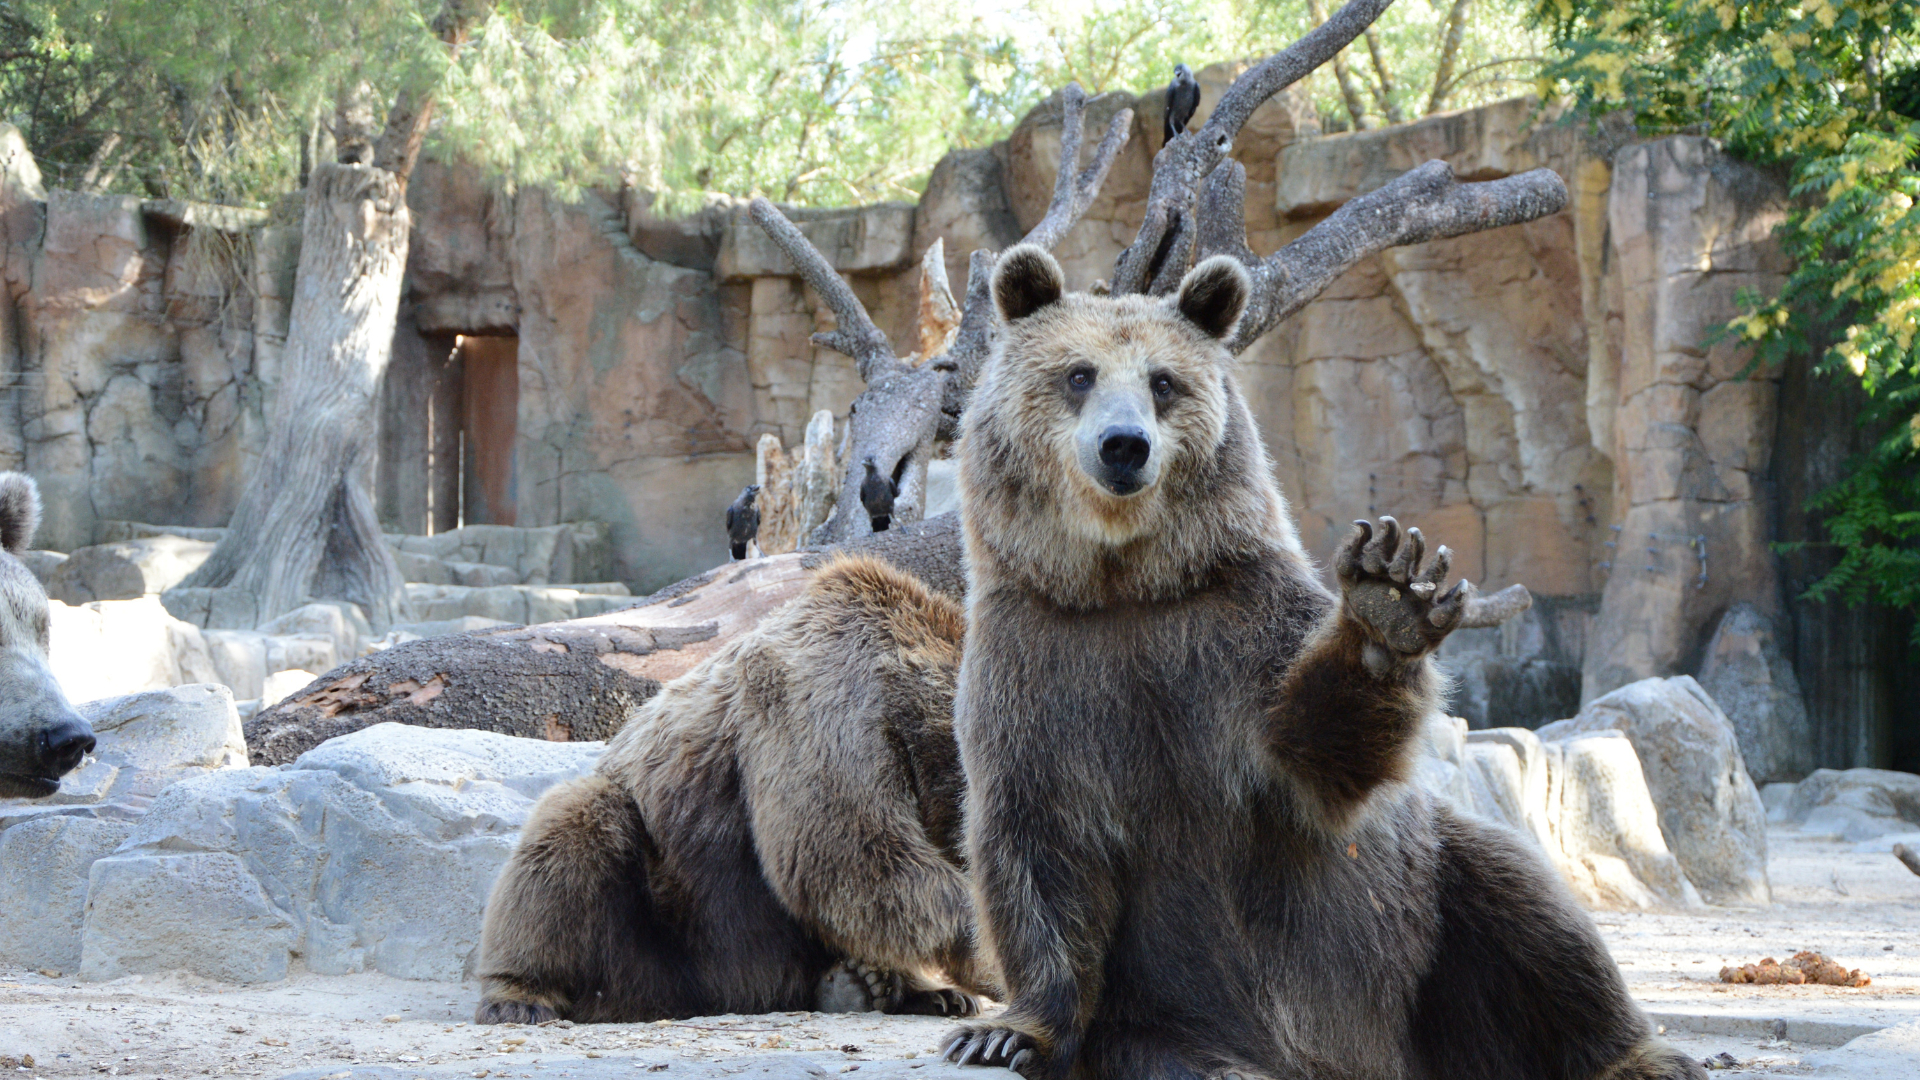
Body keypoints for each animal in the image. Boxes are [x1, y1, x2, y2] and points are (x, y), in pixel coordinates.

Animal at [472, 553, 998, 1014]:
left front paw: (949, 985)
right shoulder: (828, 703)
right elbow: (846, 852)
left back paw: (891, 988)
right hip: (667, 925)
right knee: (571, 832)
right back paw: (521, 996)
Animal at [936, 245, 1704, 1076]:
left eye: (1163, 381)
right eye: (1078, 374)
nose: (1123, 445)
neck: (1125, 584)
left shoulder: (1235, 634)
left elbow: (1317, 753)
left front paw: (1388, 598)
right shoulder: (1042, 663)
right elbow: (1037, 842)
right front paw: (1004, 1030)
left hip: (1426, 925)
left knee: (1527, 914)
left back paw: (1643, 1054)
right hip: (1166, 1013)